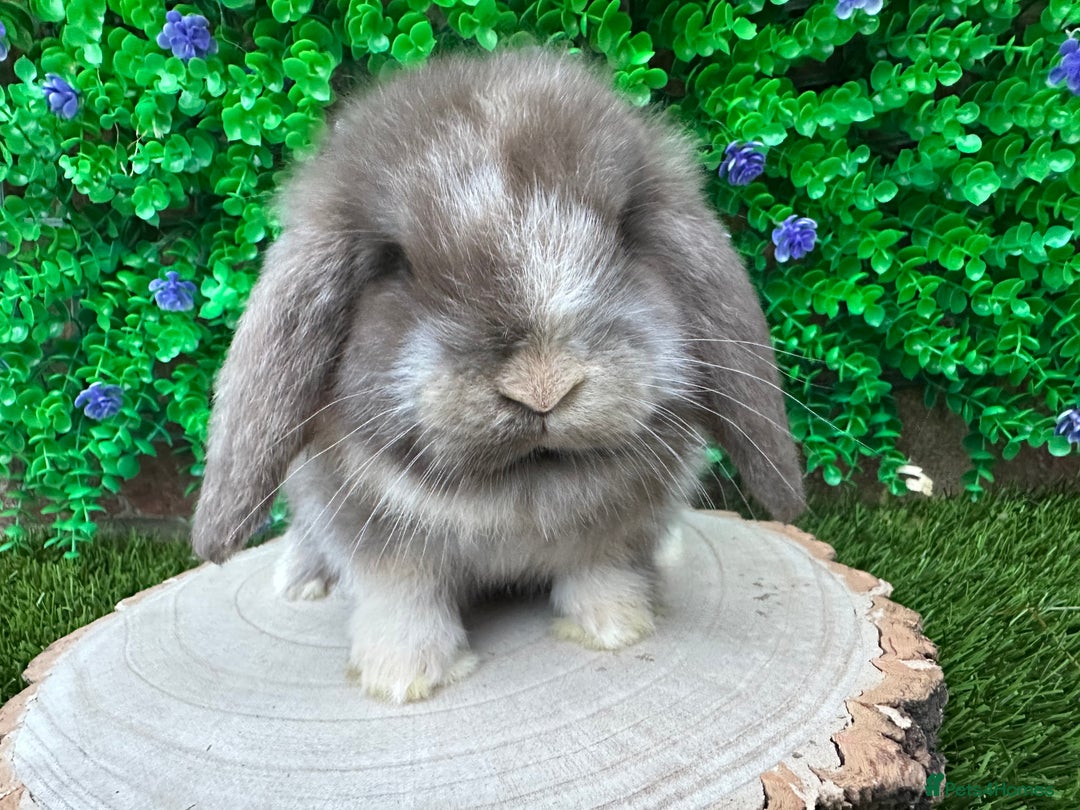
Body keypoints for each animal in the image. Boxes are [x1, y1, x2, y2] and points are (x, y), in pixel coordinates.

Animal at [191, 47, 806, 703]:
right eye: (394, 263)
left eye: (626, 231)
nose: (543, 387)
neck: (515, 497)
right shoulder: (376, 541)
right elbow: (402, 602)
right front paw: (403, 678)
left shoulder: (613, 533)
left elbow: (601, 571)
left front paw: (617, 627)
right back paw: (301, 583)